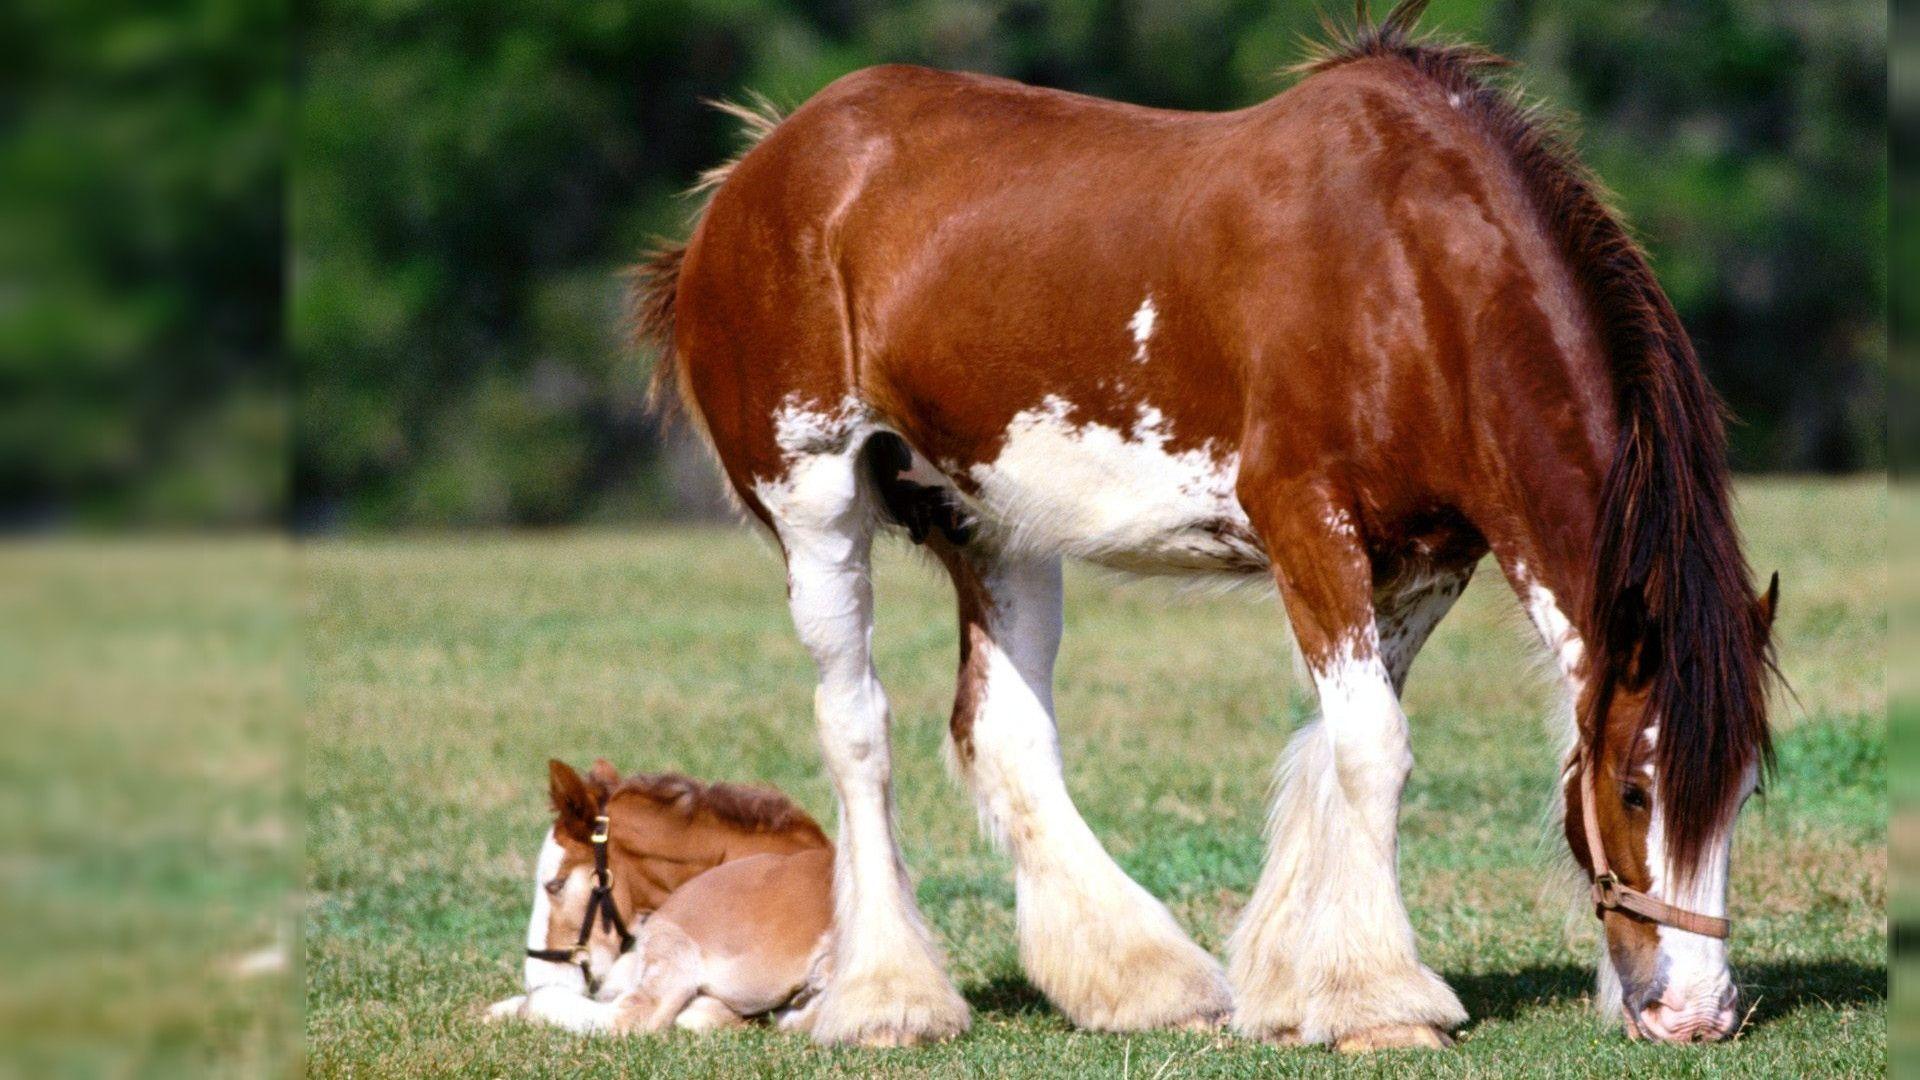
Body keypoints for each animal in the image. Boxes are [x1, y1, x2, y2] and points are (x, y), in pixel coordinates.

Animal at [627, 0, 1779, 1049]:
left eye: (1743, 793)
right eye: (1635, 791)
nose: (1697, 1013)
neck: (1411, 270)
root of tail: (753, 175)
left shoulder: (1426, 563)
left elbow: (1334, 748)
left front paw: (1297, 984)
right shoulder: (1307, 522)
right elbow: (1372, 749)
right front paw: (1382, 1004)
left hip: (995, 524)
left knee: (1002, 732)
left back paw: (1144, 981)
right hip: (815, 504)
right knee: (856, 723)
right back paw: (889, 1001)